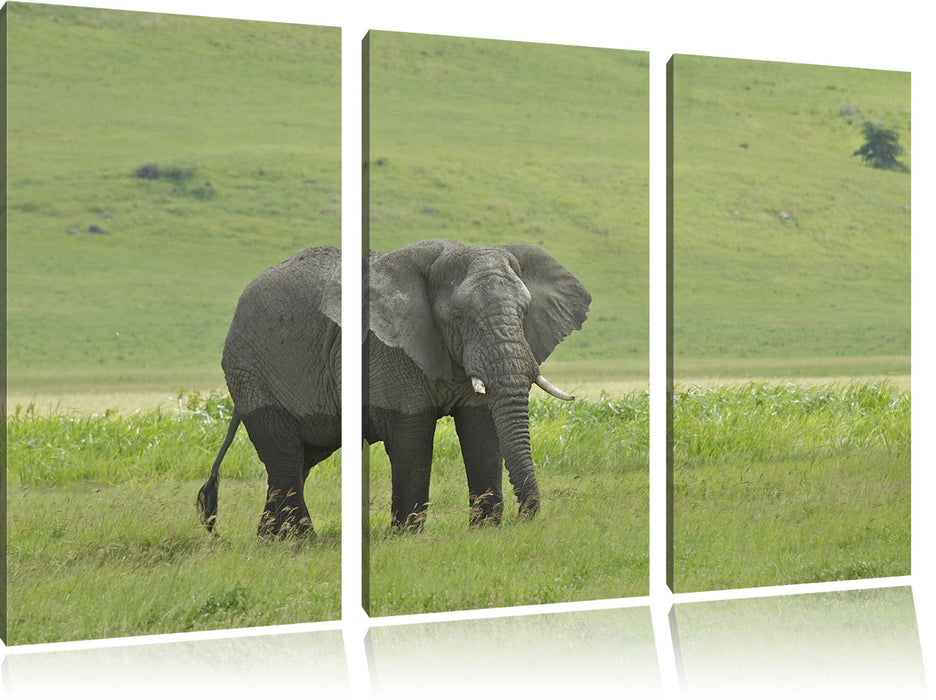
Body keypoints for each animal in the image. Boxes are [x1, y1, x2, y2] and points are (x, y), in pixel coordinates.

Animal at [197, 238, 590, 536]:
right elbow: (411, 438)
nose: (528, 516)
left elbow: (481, 431)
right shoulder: (385, 351)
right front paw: (407, 535)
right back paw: (301, 541)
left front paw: (485, 530)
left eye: (524, 312)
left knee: (299, 460)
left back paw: (270, 541)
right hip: (251, 369)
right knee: (284, 456)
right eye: (457, 317)